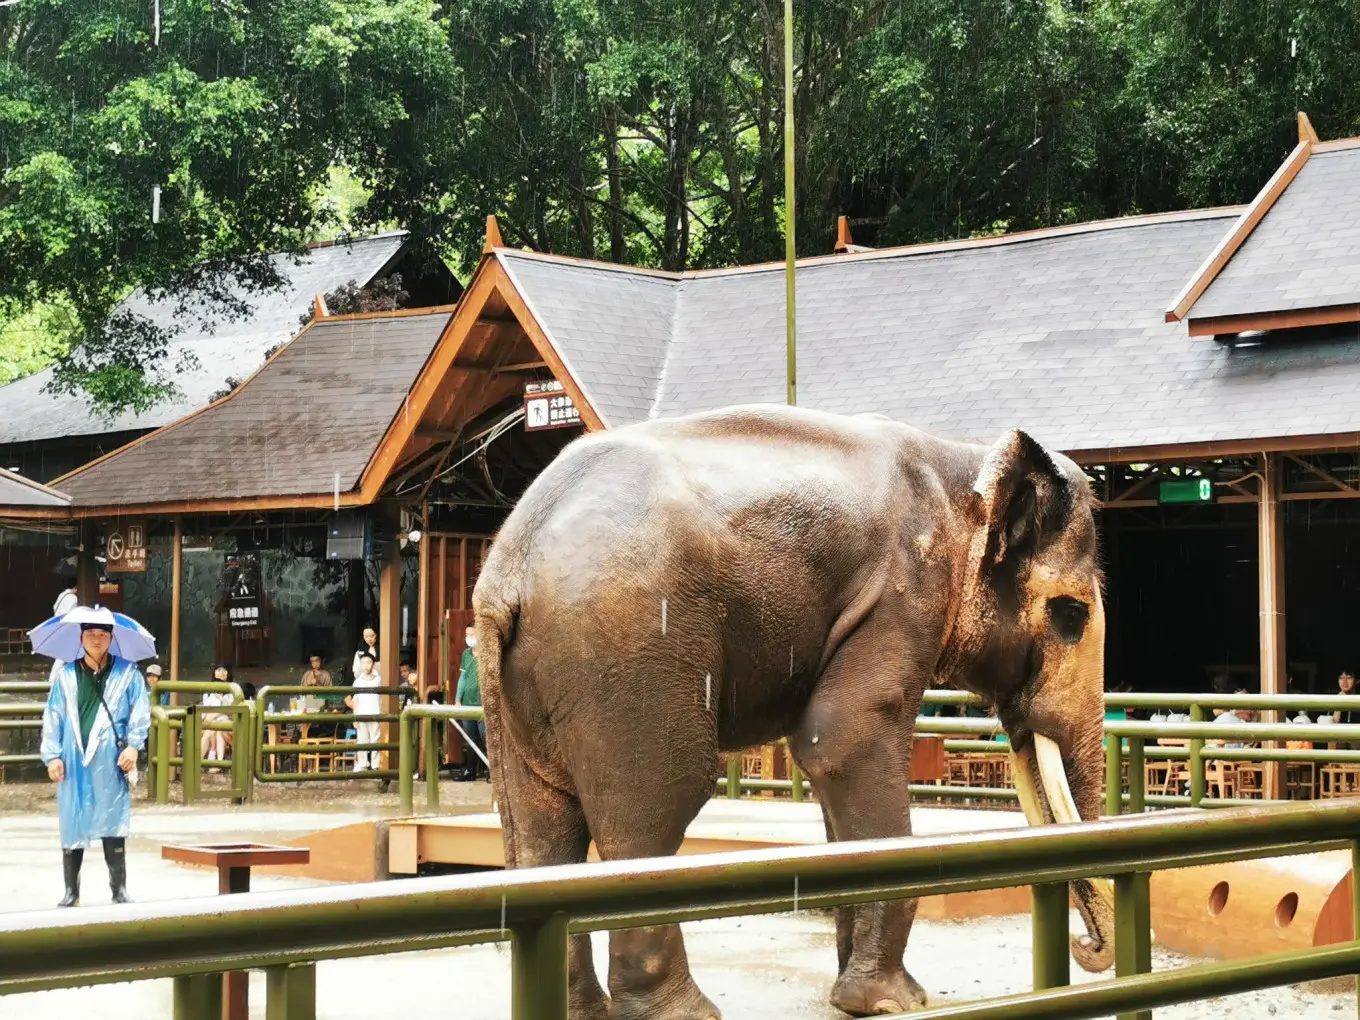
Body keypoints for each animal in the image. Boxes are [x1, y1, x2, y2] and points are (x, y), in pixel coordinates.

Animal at [473, 403, 1112, 1019]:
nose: (1087, 947)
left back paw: (581, 1010)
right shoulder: (902, 595)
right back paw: (686, 1014)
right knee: (655, 807)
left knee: (542, 824)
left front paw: (855, 997)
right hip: (629, 654)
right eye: (1071, 616)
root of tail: (510, 564)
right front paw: (893, 1002)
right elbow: (844, 742)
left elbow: (832, 763)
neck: (964, 464)